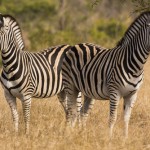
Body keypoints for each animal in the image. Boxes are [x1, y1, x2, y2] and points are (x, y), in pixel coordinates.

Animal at [61, 11, 150, 139]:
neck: (136, 66)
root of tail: (76, 45)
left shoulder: (132, 94)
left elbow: (126, 119)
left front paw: (125, 139)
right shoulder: (114, 92)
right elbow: (112, 118)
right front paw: (110, 139)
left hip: (87, 91)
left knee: (82, 113)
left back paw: (82, 134)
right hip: (71, 86)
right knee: (71, 112)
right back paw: (69, 135)